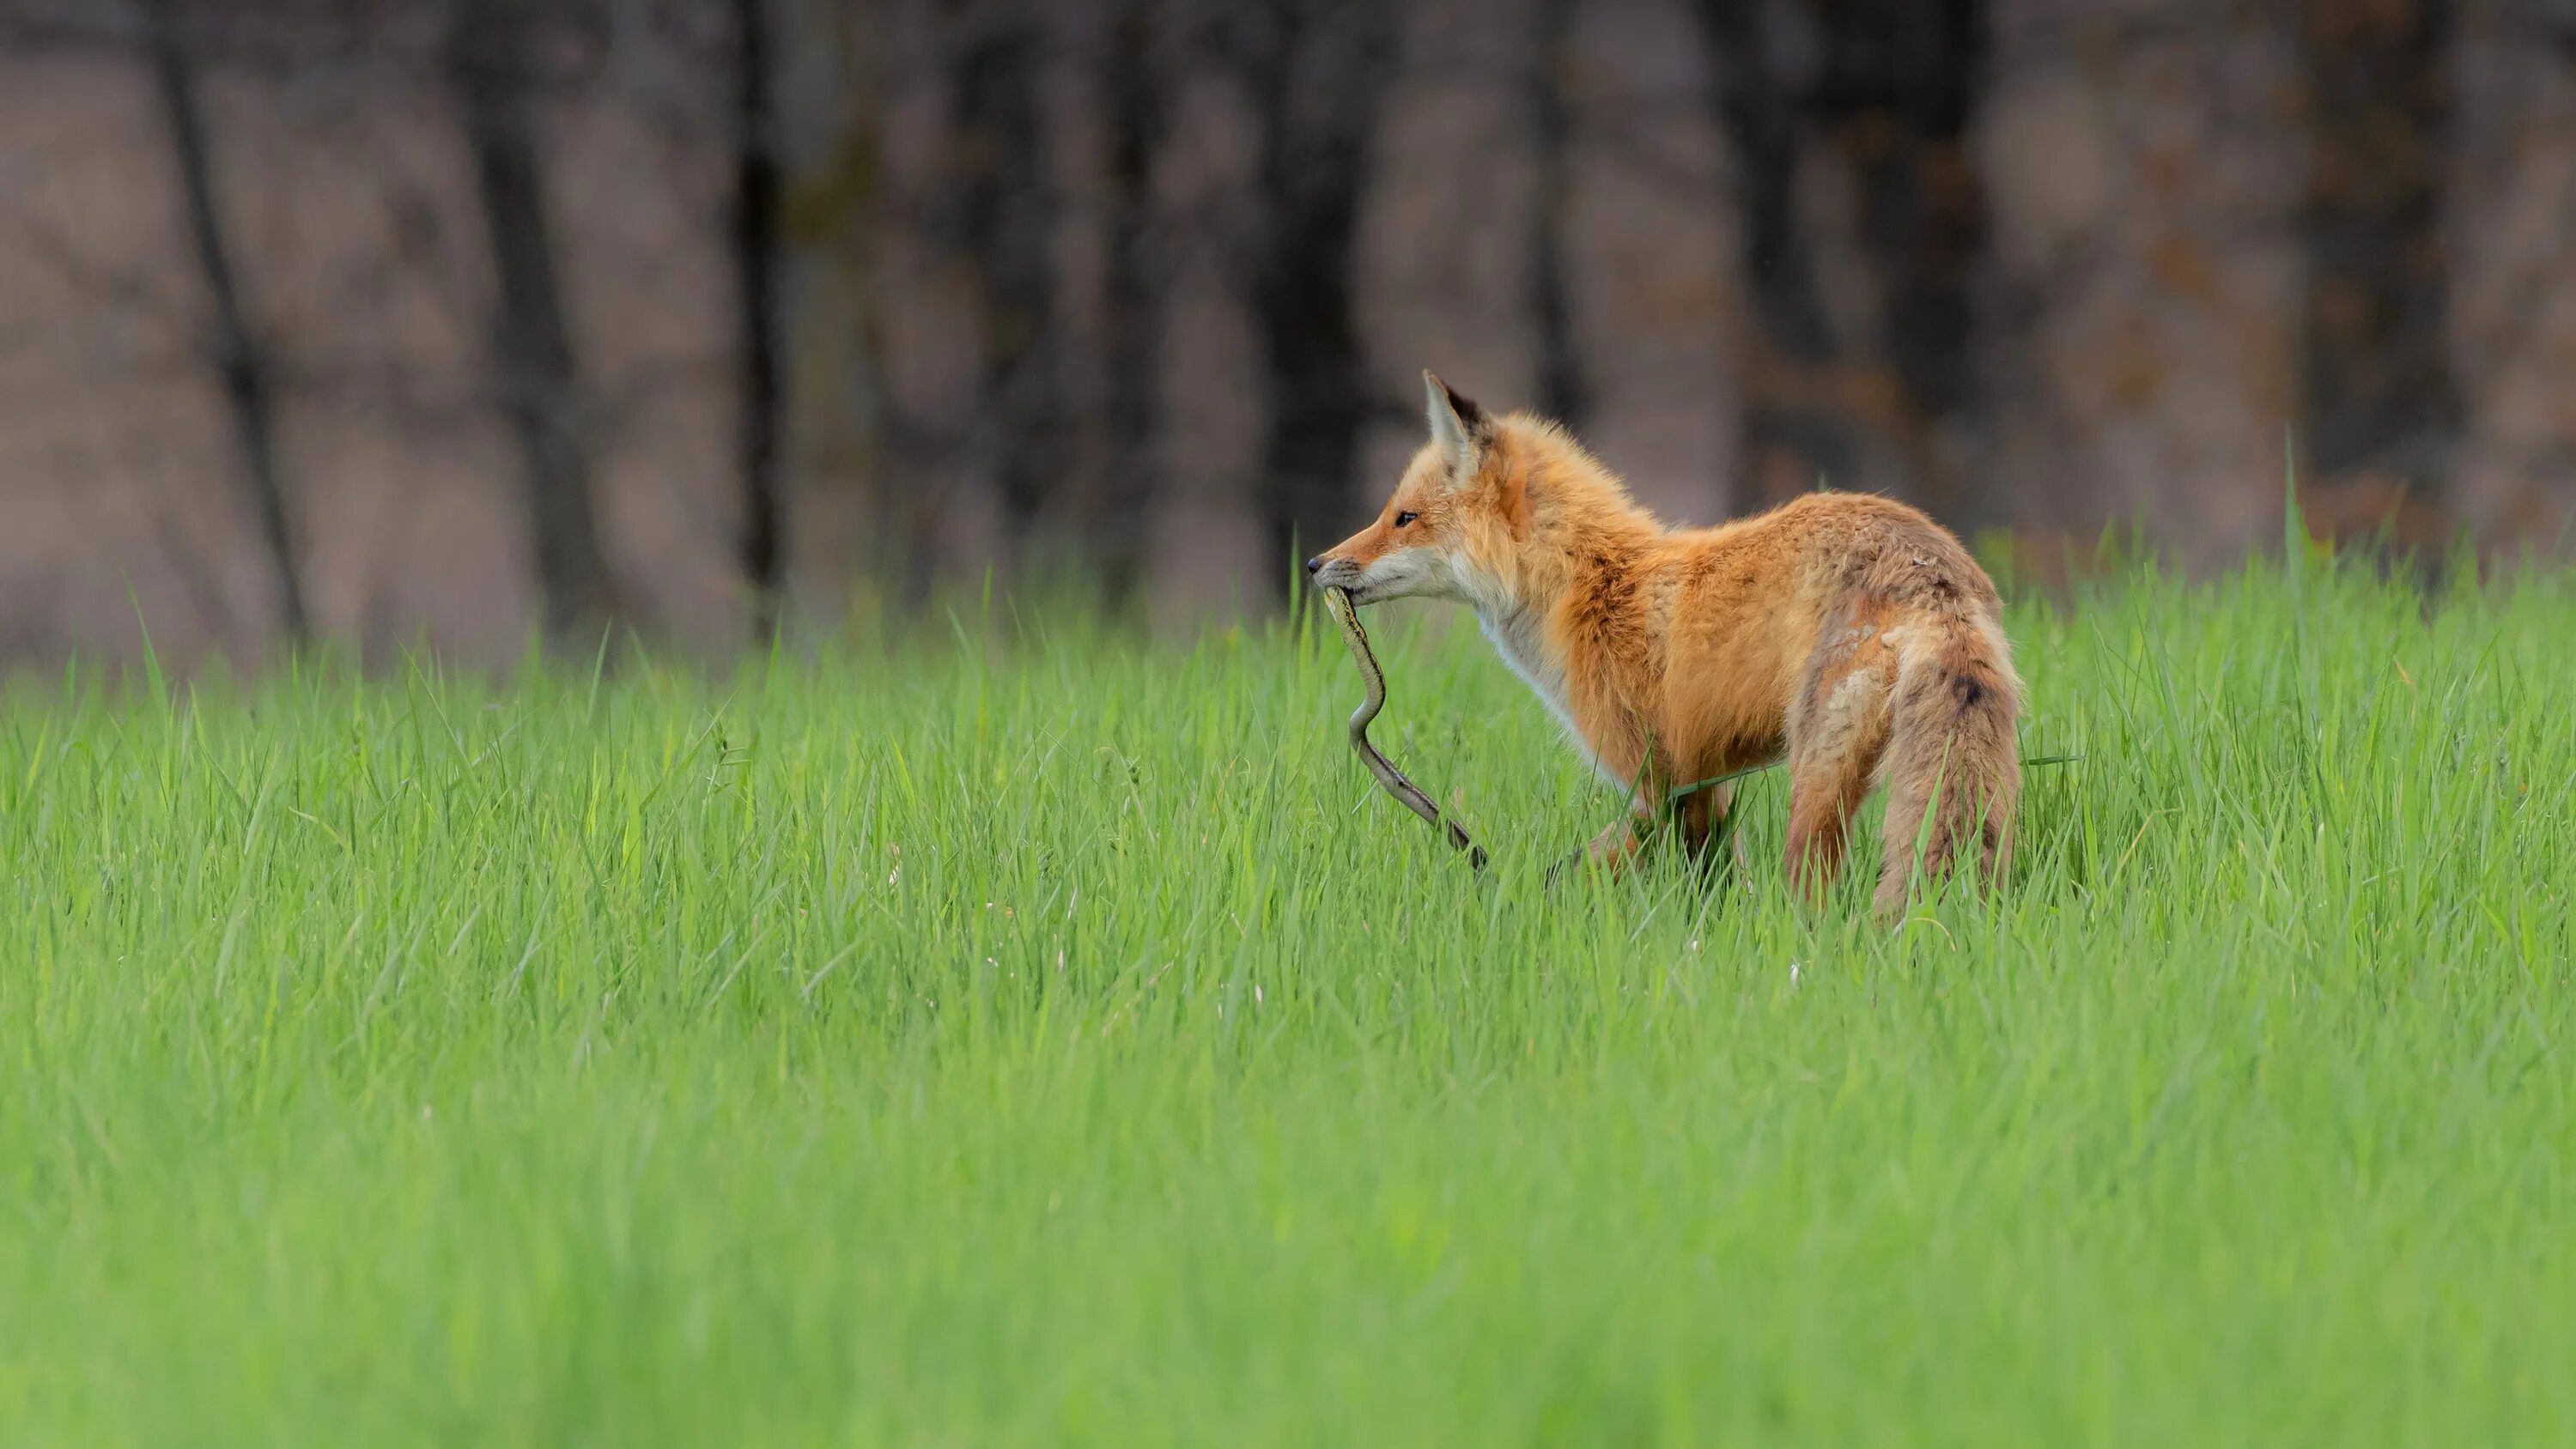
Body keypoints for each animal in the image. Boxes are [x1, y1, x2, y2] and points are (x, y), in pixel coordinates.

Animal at [1319, 373, 2020, 916]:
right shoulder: (1704, 785)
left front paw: (1514, 900)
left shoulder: (1658, 781)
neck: (1592, 585)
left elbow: (1595, 870)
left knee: (1809, 899)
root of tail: (1933, 569)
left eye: (1403, 519)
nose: (1315, 564)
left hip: (1815, 780)